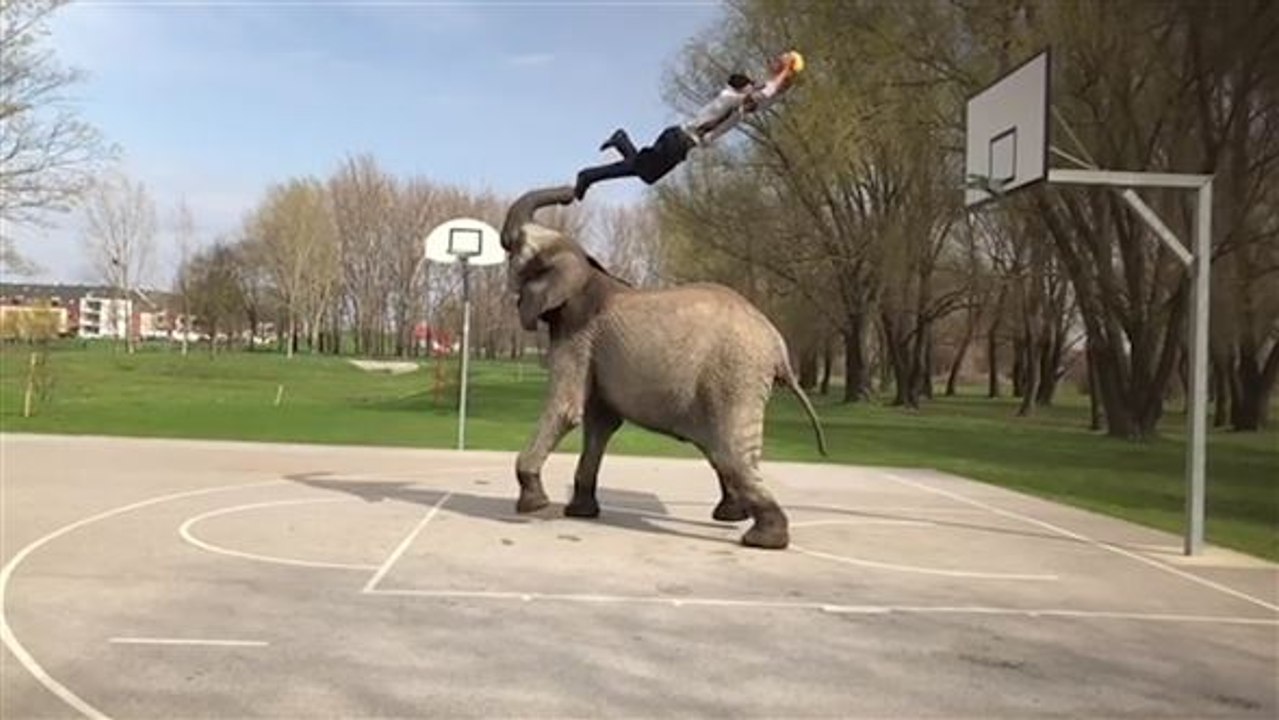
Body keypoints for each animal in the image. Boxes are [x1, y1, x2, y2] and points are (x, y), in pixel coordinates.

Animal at [500, 186, 828, 549]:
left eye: (512, 247)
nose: (573, 192)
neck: (582, 263)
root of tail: (776, 342)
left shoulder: (576, 333)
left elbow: (566, 409)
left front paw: (532, 504)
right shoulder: (593, 348)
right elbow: (600, 424)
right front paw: (579, 512)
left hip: (734, 376)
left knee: (730, 452)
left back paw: (762, 539)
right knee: (723, 452)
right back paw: (732, 517)